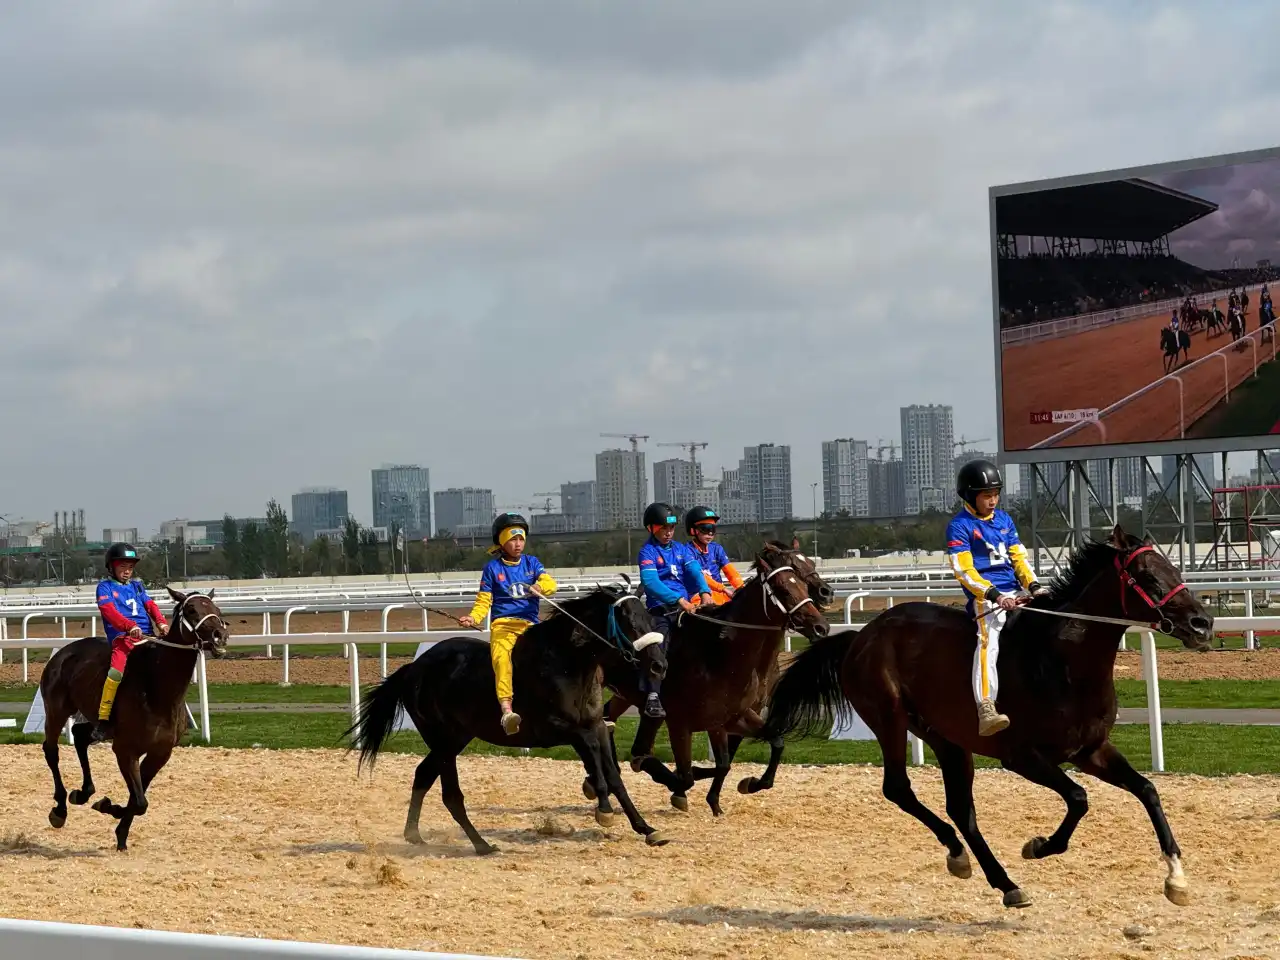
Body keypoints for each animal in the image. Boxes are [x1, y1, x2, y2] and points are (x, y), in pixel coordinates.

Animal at [39, 591, 230, 855]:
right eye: (191, 610)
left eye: (216, 609)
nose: (220, 635)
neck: (157, 689)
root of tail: (62, 653)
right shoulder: (125, 750)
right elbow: (139, 801)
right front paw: (109, 808)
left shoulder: (159, 753)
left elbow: (138, 799)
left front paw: (119, 830)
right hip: (57, 710)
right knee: (52, 750)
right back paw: (60, 809)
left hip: (97, 723)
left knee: (79, 735)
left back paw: (84, 793)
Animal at [345, 583, 675, 855]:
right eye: (628, 621)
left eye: (648, 616)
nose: (659, 665)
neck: (566, 664)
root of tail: (413, 668)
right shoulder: (555, 729)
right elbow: (592, 752)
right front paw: (602, 803)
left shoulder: (595, 724)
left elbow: (615, 775)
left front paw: (646, 828)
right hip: (443, 741)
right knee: (451, 794)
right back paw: (481, 844)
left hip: (455, 738)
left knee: (424, 774)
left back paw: (414, 834)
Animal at [588, 545, 829, 814]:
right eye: (785, 589)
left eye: (803, 584)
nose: (821, 626)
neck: (718, 654)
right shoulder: (680, 724)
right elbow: (686, 775)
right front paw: (684, 790)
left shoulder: (731, 716)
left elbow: (766, 746)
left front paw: (746, 785)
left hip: (625, 695)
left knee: (610, 719)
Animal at [752, 529, 1213, 911]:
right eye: (1148, 577)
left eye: (1174, 567)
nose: (1203, 623)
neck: (1060, 660)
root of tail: (861, 636)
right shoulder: (1023, 757)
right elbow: (1079, 798)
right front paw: (1039, 845)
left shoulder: (1091, 749)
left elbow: (1147, 790)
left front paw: (1177, 879)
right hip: (890, 719)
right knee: (899, 789)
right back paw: (975, 863)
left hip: (947, 738)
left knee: (961, 809)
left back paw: (993, 876)